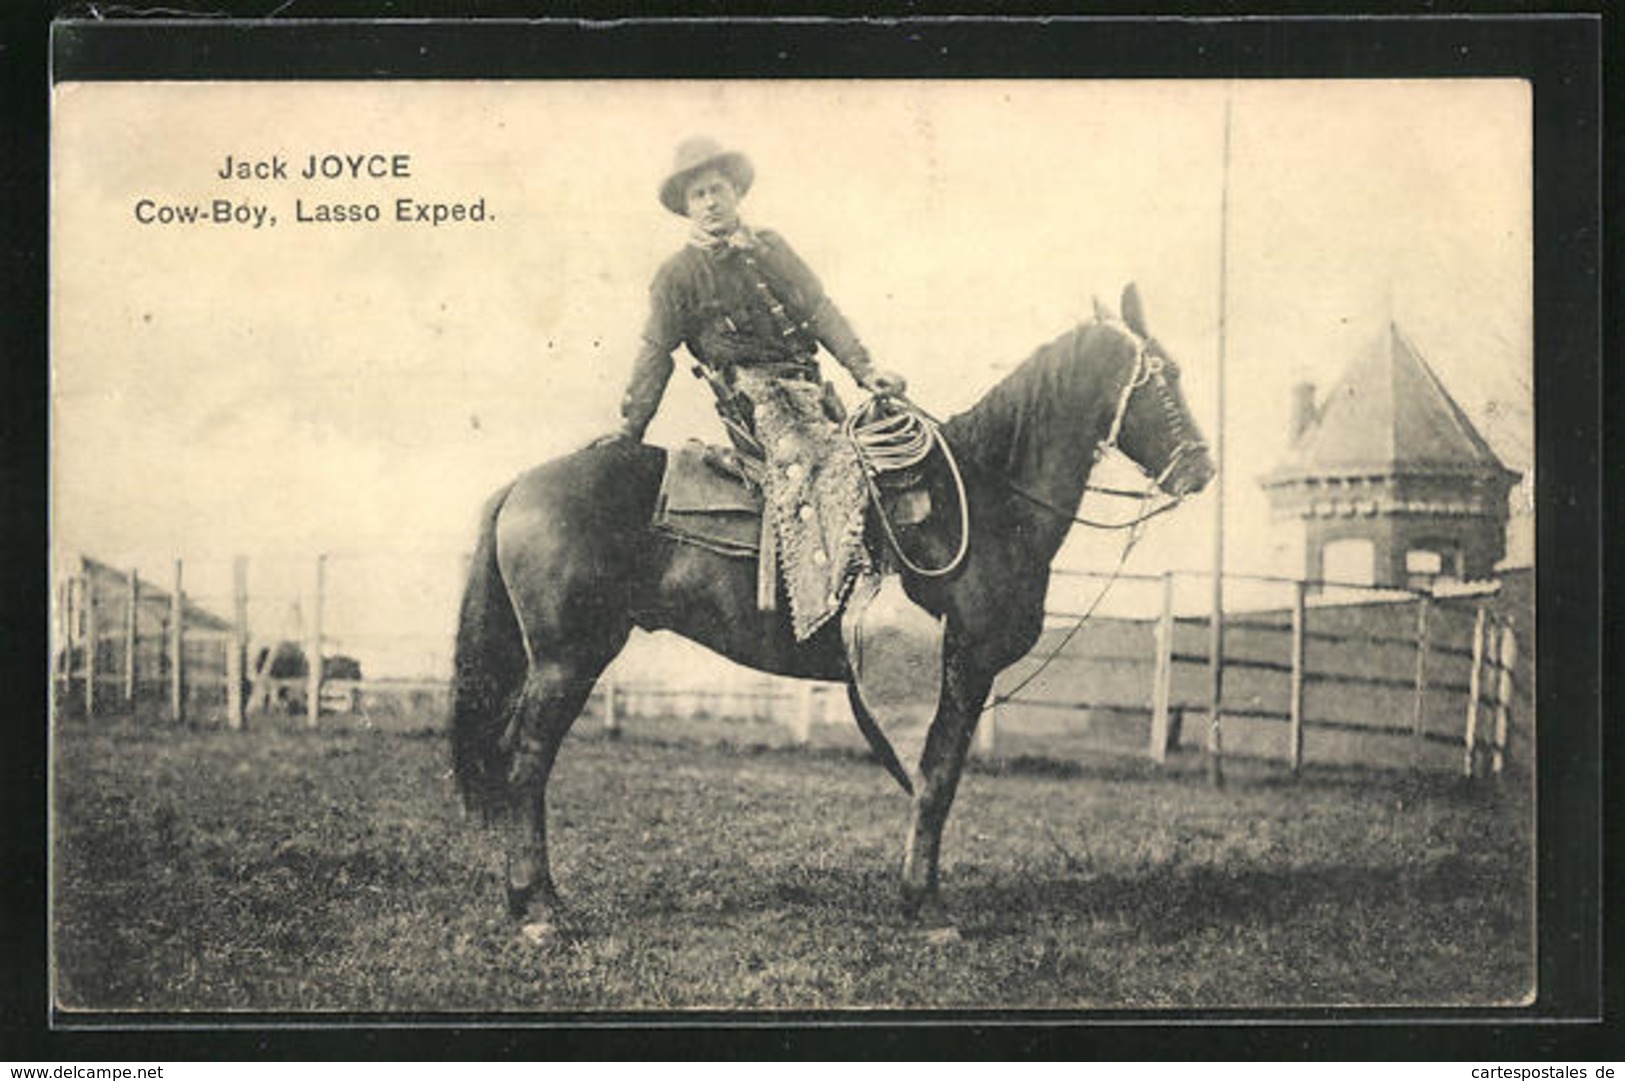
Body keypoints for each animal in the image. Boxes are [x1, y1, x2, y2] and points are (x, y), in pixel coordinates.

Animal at [451, 284, 1215, 936]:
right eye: (1168, 375)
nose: (1201, 470)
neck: (985, 501)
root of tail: (523, 484)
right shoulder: (963, 672)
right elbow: (937, 780)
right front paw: (926, 907)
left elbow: (934, 779)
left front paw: (919, 897)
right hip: (566, 660)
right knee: (526, 764)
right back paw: (540, 908)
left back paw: (530, 899)